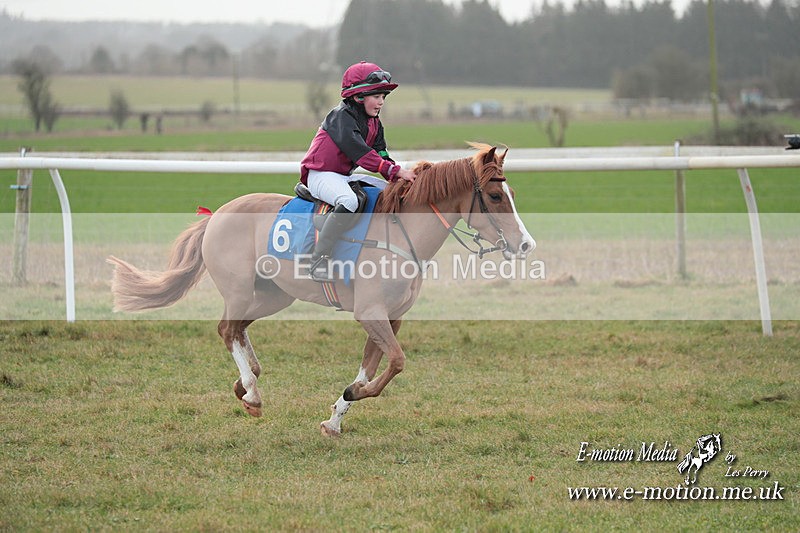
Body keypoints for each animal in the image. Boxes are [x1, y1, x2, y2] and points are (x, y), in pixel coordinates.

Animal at [107, 143, 535, 436]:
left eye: (512, 195)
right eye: (495, 196)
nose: (526, 244)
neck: (401, 232)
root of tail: (215, 216)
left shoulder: (390, 317)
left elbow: (372, 367)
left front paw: (337, 415)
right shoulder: (370, 313)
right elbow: (395, 363)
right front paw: (351, 396)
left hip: (274, 296)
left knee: (239, 330)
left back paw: (246, 384)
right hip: (242, 291)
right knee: (227, 329)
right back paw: (253, 391)